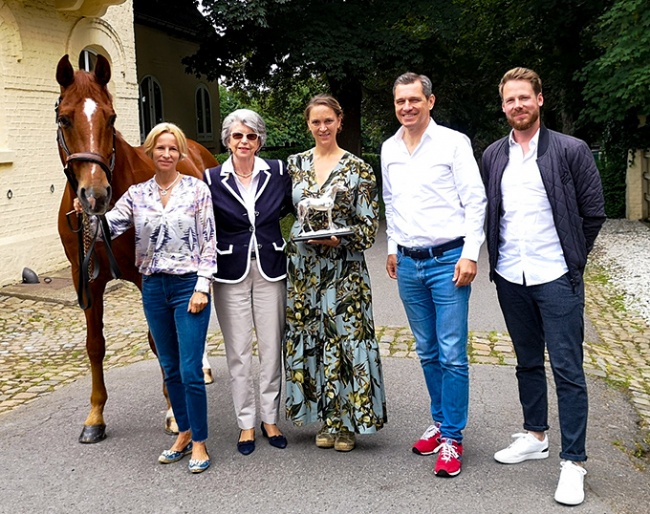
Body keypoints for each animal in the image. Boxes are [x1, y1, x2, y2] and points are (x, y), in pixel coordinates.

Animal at [54, 55, 216, 440]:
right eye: (64, 118)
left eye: (111, 117)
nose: (95, 195)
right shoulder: (86, 278)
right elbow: (94, 345)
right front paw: (95, 416)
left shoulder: (149, 277)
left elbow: (161, 340)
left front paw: (174, 412)